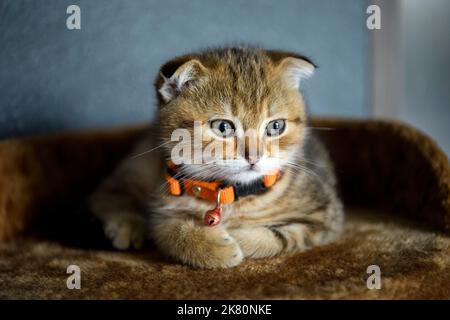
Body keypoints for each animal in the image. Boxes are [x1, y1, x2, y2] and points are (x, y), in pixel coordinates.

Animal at [89, 47, 344, 268]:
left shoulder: (324, 217)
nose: (255, 156)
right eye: (223, 127)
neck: (231, 193)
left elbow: (281, 237)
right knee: (106, 193)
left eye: (276, 126)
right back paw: (127, 225)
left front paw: (236, 237)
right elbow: (165, 229)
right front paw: (210, 245)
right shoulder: (162, 201)